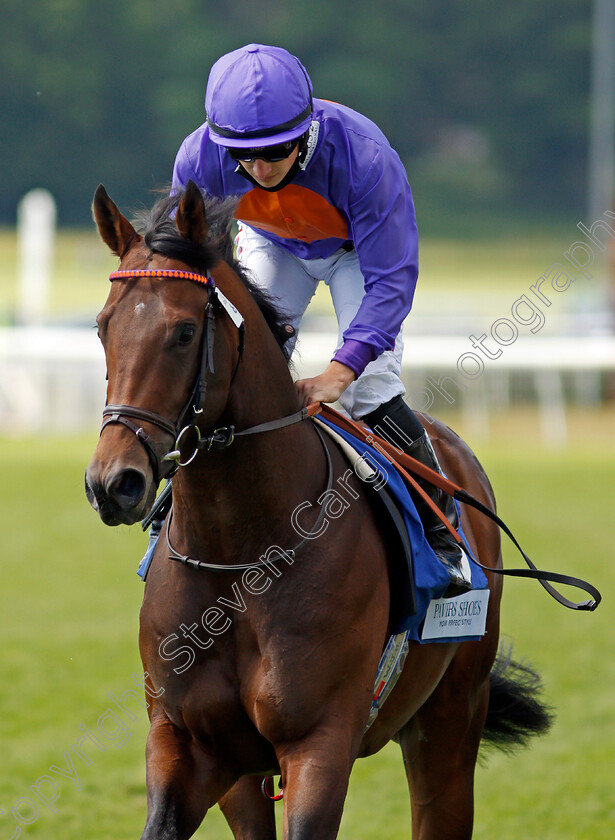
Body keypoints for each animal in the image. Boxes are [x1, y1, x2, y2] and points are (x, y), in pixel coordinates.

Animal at [85, 184, 552, 840]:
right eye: (104, 327)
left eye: (183, 332)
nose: (113, 483)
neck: (242, 559)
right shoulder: (189, 743)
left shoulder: (320, 743)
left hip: (451, 717)